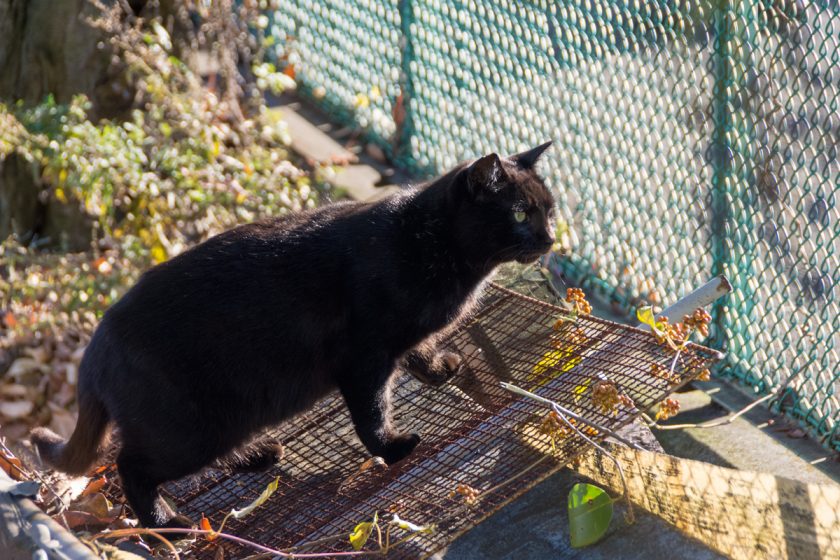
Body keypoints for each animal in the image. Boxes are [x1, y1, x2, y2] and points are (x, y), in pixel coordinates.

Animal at [31, 141, 556, 528]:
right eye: (519, 213)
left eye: (548, 210)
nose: (551, 238)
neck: (426, 241)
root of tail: (95, 347)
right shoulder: (364, 358)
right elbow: (372, 413)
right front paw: (392, 448)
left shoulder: (398, 342)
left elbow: (418, 353)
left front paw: (440, 368)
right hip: (188, 429)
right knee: (130, 467)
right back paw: (166, 523)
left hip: (223, 420)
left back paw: (258, 454)